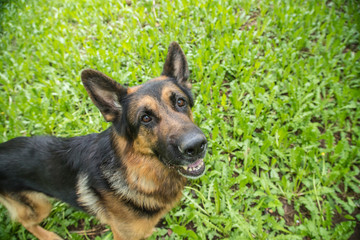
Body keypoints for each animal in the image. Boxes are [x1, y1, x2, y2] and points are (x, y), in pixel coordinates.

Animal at [0, 42, 207, 239]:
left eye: (180, 102)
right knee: (25, 222)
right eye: (145, 118)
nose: (196, 146)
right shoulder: (121, 235)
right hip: (39, 207)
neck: (135, 170)